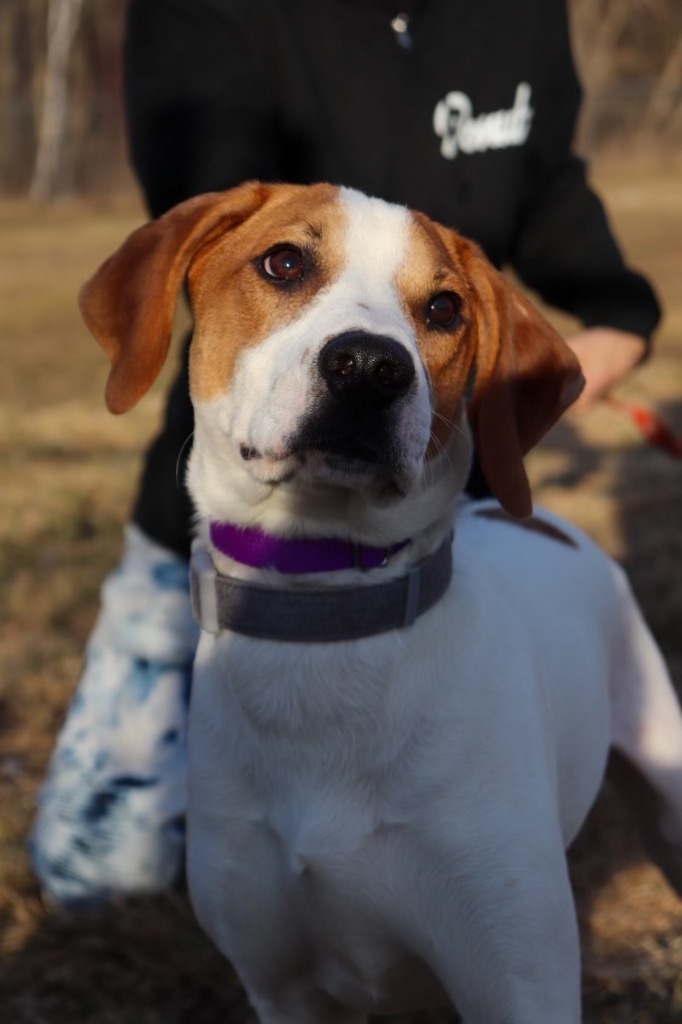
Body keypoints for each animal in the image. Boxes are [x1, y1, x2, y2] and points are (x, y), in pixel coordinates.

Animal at [76, 184, 675, 1024]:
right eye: (283, 262)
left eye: (446, 308)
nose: (368, 366)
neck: (326, 622)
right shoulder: (281, 988)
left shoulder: (519, 981)